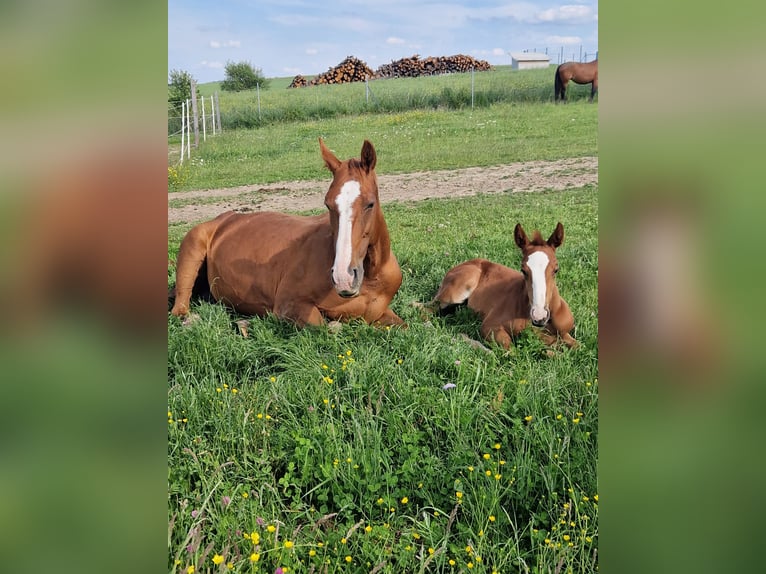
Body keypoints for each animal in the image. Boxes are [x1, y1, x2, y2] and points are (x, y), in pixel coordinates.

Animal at [169, 138, 405, 327]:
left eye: (370, 204)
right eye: (328, 205)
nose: (343, 277)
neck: (372, 277)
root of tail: (223, 219)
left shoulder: (380, 314)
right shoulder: (288, 305)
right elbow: (326, 326)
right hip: (191, 253)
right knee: (180, 306)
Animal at [432, 222, 577, 349]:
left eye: (556, 269)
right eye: (523, 270)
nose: (539, 316)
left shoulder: (563, 333)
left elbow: (574, 345)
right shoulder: (490, 325)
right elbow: (511, 351)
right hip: (453, 294)